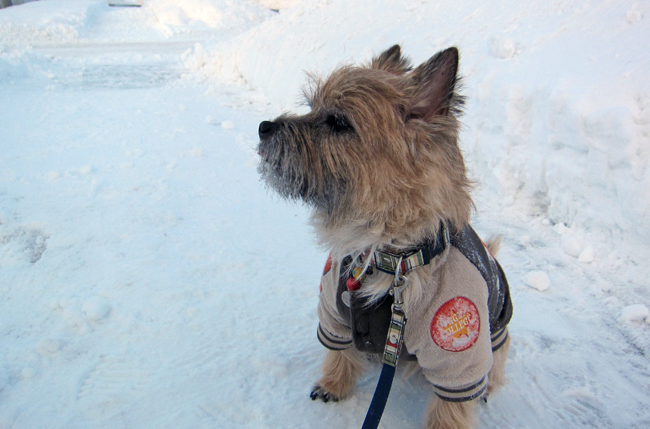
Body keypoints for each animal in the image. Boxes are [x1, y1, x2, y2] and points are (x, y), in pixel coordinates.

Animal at [254, 45, 512, 426]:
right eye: (312, 105)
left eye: (339, 122)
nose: (263, 127)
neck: (389, 256)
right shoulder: (333, 312)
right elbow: (338, 351)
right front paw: (333, 384)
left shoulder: (459, 354)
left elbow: (450, 409)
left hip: (494, 336)